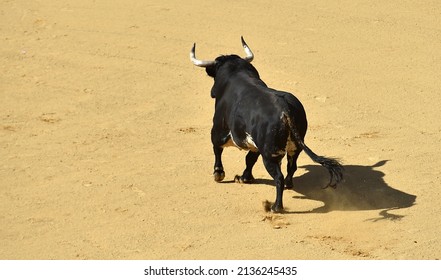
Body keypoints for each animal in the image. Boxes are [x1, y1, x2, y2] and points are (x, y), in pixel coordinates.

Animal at [187, 37, 342, 212]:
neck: (236, 73)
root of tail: (285, 109)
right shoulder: (255, 145)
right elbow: (250, 159)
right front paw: (244, 178)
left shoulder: (218, 131)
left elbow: (218, 150)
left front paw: (219, 174)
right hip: (295, 148)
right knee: (291, 167)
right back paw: (288, 185)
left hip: (269, 154)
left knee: (278, 177)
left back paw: (276, 206)